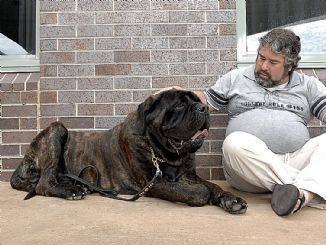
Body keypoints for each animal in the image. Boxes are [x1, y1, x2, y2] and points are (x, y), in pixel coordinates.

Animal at [10, 89, 247, 214]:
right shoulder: (153, 183)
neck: (162, 152)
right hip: (56, 129)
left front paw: (231, 199)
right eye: (179, 105)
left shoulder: (188, 174)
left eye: (198, 101)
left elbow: (213, 185)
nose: (203, 108)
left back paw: (77, 185)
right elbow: (200, 191)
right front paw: (205, 195)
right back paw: (70, 190)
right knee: (44, 184)